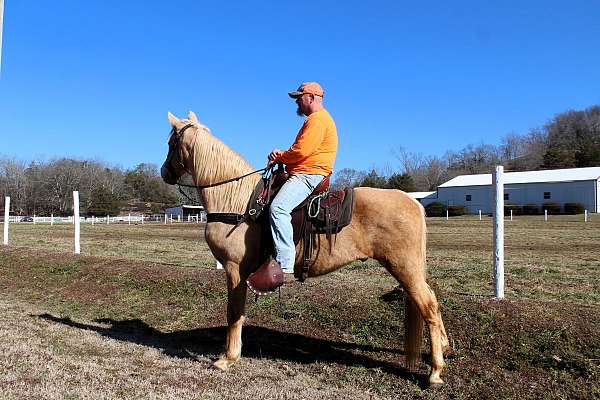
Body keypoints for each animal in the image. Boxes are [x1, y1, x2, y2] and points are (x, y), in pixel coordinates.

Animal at [162, 111, 448, 386]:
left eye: (170, 143)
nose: (165, 172)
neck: (238, 202)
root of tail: (412, 201)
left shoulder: (235, 270)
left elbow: (234, 312)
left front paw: (227, 358)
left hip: (404, 268)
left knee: (429, 306)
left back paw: (435, 372)